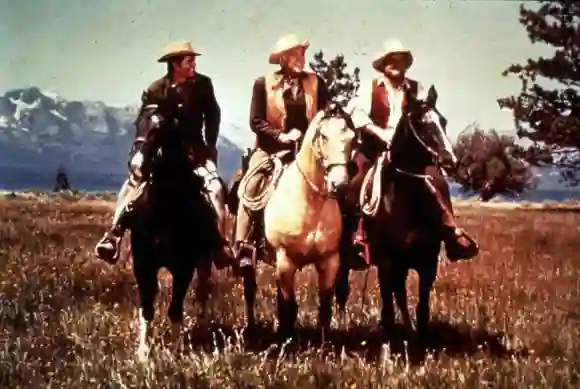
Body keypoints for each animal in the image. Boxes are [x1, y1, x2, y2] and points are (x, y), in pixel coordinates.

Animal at [125, 87, 225, 360]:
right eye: (137, 123)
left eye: (161, 127)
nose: (137, 166)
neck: (164, 206)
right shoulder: (143, 265)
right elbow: (147, 307)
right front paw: (142, 354)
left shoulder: (184, 267)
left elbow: (176, 309)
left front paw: (176, 350)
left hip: (204, 262)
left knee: (202, 294)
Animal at [336, 85, 458, 346]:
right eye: (419, 123)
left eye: (443, 121)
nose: (449, 160)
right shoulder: (388, 261)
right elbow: (391, 302)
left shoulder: (427, 262)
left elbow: (420, 307)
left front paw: (417, 339)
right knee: (341, 289)